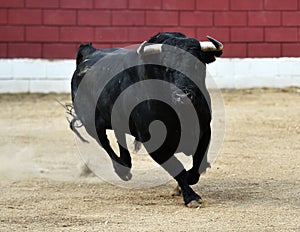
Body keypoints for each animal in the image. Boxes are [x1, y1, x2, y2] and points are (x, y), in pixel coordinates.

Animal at [71, 32, 223, 207]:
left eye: (197, 66)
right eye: (167, 68)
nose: (182, 96)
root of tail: (89, 53)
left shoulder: (204, 130)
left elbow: (198, 162)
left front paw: (184, 185)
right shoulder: (153, 142)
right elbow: (176, 168)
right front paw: (190, 197)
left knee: (118, 134)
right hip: (90, 123)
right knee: (103, 141)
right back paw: (123, 170)